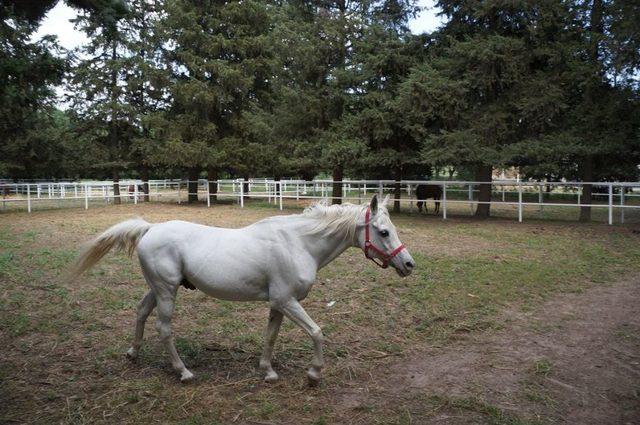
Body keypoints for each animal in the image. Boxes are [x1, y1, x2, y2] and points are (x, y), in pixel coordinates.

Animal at [71, 195, 416, 384]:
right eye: (384, 232)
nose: (409, 264)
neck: (299, 243)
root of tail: (150, 228)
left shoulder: (278, 303)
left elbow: (270, 336)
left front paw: (268, 371)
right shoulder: (287, 300)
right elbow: (317, 332)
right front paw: (314, 373)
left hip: (157, 289)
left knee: (141, 312)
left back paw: (133, 353)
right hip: (167, 291)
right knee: (164, 329)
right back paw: (183, 372)